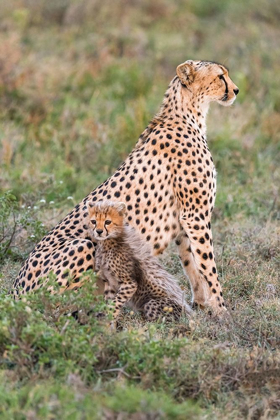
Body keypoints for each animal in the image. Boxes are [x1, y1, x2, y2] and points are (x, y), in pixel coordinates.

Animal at [13, 60, 238, 316]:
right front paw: (222, 312)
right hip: (83, 245)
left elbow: (192, 264)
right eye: (221, 76)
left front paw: (199, 306)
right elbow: (209, 267)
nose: (236, 90)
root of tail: (14, 292)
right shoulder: (196, 215)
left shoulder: (185, 220)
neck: (187, 113)